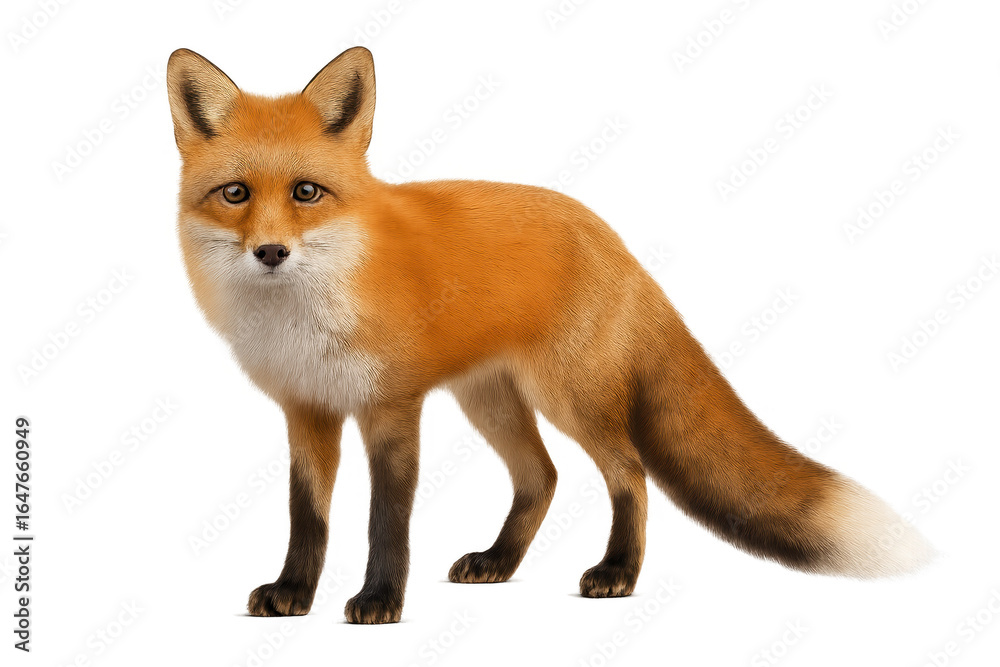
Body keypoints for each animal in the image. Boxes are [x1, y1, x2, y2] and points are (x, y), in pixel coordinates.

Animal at [166, 46, 934, 624]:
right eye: (235, 194)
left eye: (305, 192)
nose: (270, 252)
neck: (305, 318)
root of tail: (608, 234)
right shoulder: (308, 410)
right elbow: (308, 517)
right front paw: (294, 592)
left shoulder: (392, 408)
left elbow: (387, 519)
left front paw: (381, 599)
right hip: (491, 398)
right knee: (542, 476)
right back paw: (500, 562)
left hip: (570, 395)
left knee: (629, 472)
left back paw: (618, 571)